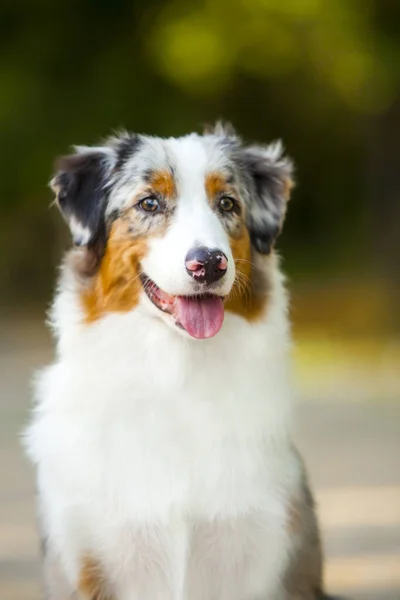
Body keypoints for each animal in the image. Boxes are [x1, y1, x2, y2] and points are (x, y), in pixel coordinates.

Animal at [25, 123, 332, 600]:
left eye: (227, 203)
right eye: (149, 202)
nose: (209, 263)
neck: (176, 374)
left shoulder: (268, 553)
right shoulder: (83, 560)